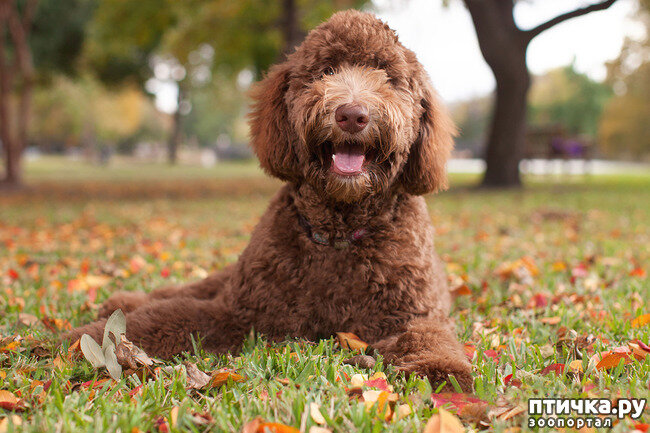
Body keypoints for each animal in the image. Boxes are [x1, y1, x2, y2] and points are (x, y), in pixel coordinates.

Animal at [66, 11, 470, 392]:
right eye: (326, 71)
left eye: (387, 76)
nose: (352, 115)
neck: (339, 235)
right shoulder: (240, 311)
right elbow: (166, 317)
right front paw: (83, 339)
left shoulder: (411, 314)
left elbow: (429, 335)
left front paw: (441, 370)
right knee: (184, 291)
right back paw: (124, 300)